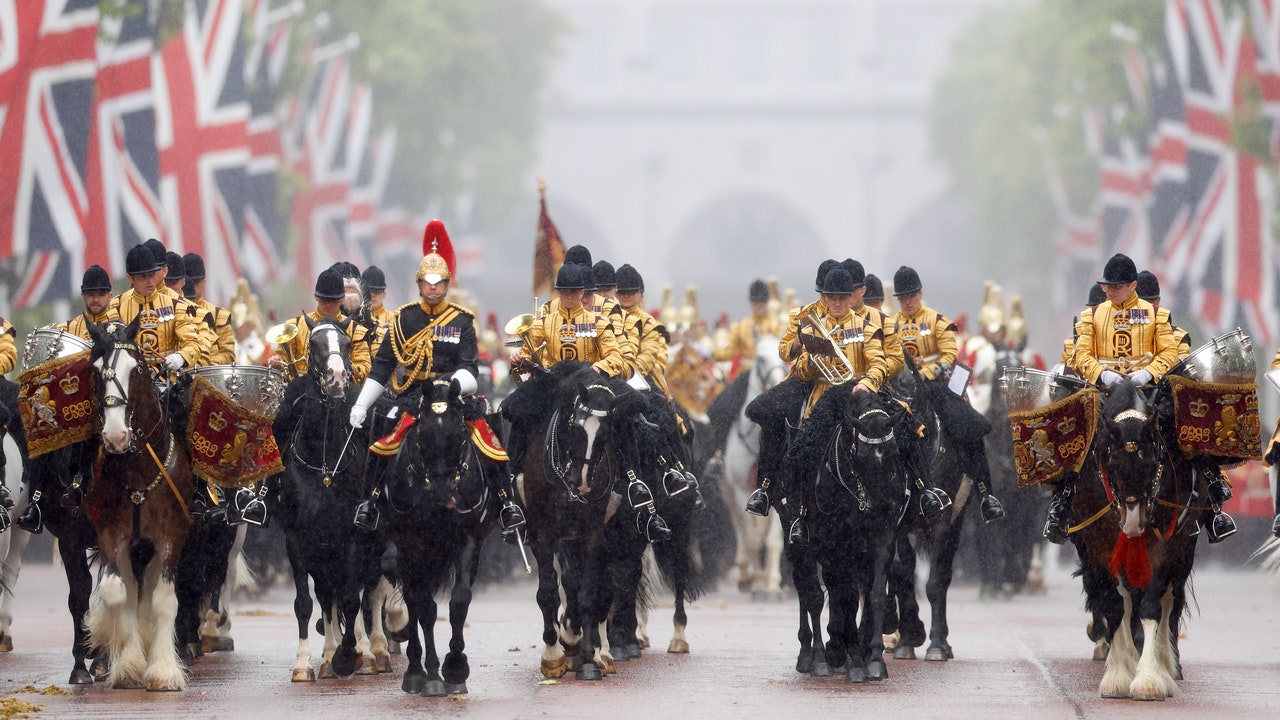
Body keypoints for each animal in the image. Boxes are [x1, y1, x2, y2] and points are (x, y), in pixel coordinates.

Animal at [82, 316, 194, 686]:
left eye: (136, 369)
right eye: (95, 370)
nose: (115, 436)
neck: (137, 471)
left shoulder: (172, 534)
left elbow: (163, 600)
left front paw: (163, 669)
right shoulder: (110, 533)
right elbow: (118, 594)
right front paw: (128, 661)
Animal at [272, 316, 368, 681]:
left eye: (348, 343)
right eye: (313, 345)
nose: (337, 379)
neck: (325, 461)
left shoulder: (353, 535)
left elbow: (353, 598)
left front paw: (349, 656)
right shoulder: (298, 540)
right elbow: (305, 601)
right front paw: (305, 663)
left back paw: (369, 651)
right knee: (327, 594)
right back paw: (328, 653)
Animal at [373, 376, 496, 696]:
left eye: (460, 437)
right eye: (421, 437)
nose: (444, 495)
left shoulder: (468, 541)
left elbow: (459, 602)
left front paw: (456, 668)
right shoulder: (411, 546)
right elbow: (424, 608)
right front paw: (428, 673)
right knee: (414, 602)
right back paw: (417, 669)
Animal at [1070, 379, 1198, 696]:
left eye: (1152, 463)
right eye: (1113, 463)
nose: (1132, 525)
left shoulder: (1165, 547)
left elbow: (1152, 607)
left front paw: (1149, 678)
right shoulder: (1097, 546)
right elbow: (1115, 606)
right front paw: (1118, 675)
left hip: (1184, 552)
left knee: (1169, 602)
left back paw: (1167, 665)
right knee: (1126, 601)